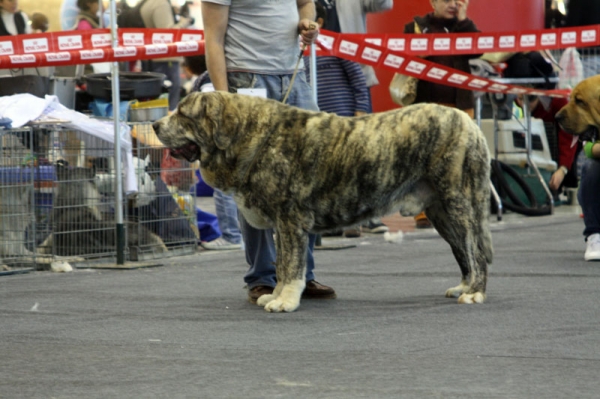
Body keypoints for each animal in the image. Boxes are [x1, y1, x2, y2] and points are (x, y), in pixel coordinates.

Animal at [152, 92, 494, 314]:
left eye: (182, 114)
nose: (155, 125)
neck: (252, 137)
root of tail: (468, 121)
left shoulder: (290, 220)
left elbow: (291, 265)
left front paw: (284, 301)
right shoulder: (282, 226)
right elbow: (281, 265)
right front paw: (274, 295)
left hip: (458, 202)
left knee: (475, 249)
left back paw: (475, 293)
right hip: (440, 212)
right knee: (463, 251)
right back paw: (464, 286)